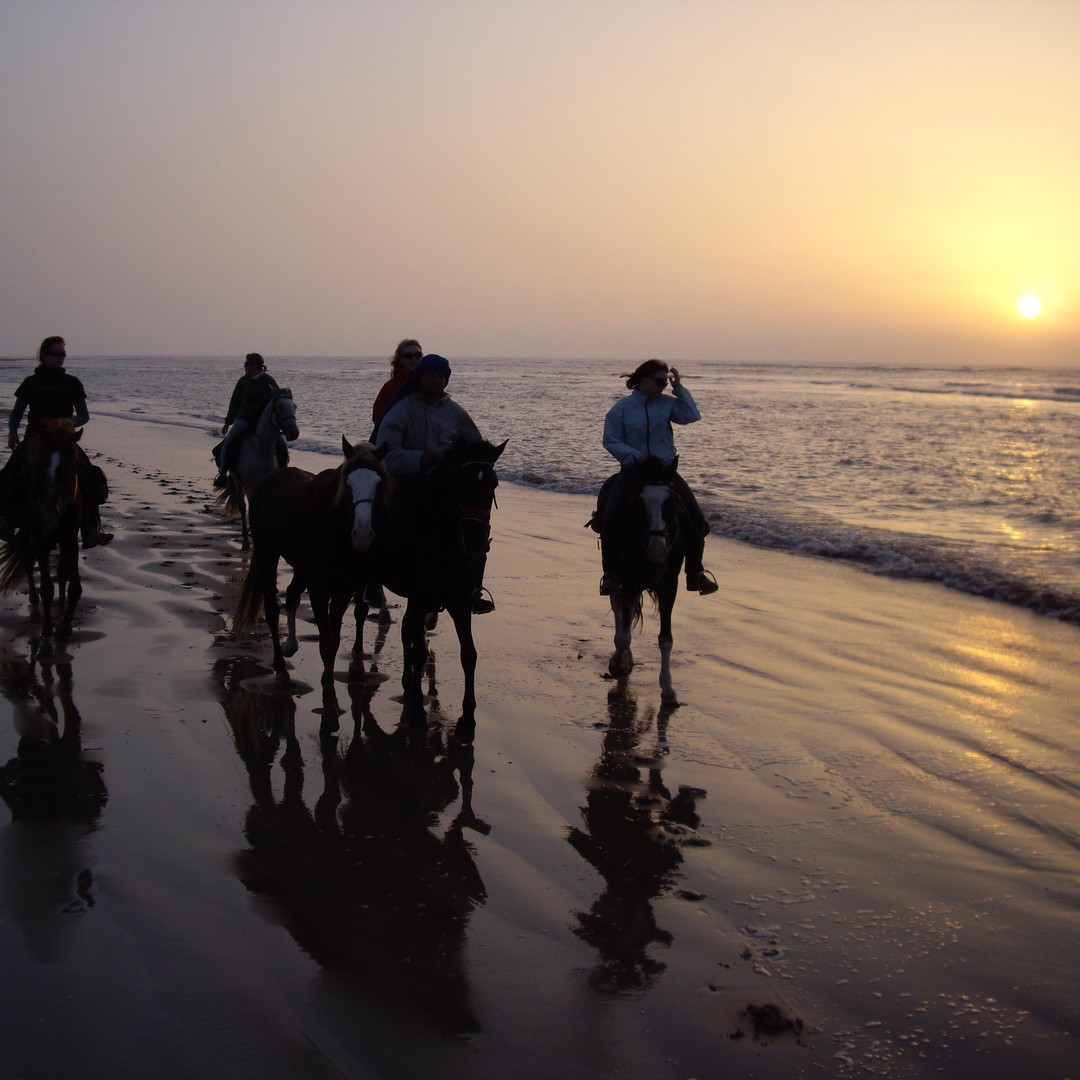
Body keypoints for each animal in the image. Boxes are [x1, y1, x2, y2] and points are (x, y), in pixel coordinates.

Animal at [0, 420, 84, 658]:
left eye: (70, 463)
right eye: (41, 462)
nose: (49, 507)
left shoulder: (69, 538)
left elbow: (74, 585)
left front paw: (65, 624)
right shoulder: (38, 539)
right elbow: (46, 588)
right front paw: (47, 640)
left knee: (61, 572)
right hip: (27, 533)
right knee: (29, 565)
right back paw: (36, 610)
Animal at [214, 388, 299, 550]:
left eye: (294, 406)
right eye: (279, 407)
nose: (294, 432)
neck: (262, 448)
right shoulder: (252, 487)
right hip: (238, 482)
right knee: (242, 506)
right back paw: (246, 541)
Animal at [232, 438, 390, 690]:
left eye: (379, 483)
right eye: (348, 484)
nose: (363, 534)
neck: (334, 528)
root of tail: (270, 481)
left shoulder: (344, 588)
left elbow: (334, 640)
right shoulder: (319, 588)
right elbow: (327, 644)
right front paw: (328, 691)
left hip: (300, 567)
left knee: (292, 593)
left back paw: (290, 645)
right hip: (268, 553)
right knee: (272, 610)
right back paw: (280, 668)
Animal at [378, 438, 505, 734]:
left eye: (493, 483)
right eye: (460, 483)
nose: (476, 537)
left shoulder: (460, 603)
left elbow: (468, 654)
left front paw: (468, 712)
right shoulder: (421, 598)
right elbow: (419, 651)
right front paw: (416, 704)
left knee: (407, 631)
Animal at [601, 456, 687, 704]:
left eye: (671, 503)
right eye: (640, 504)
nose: (658, 550)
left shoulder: (670, 587)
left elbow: (666, 639)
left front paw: (668, 689)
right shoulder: (630, 581)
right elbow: (623, 635)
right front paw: (618, 665)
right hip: (617, 577)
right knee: (619, 609)